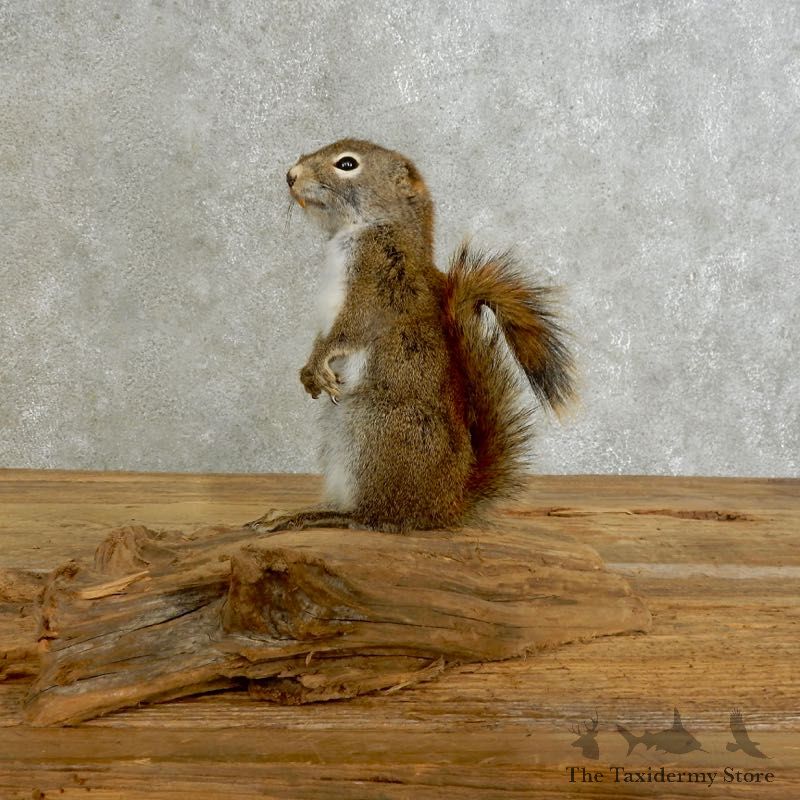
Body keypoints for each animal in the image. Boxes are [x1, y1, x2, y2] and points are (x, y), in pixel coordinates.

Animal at [248, 139, 575, 533]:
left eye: (347, 164)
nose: (291, 176)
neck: (368, 228)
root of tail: (444, 506)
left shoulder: (378, 282)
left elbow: (348, 332)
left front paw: (316, 363)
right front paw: (308, 371)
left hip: (374, 432)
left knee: (377, 517)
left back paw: (316, 516)